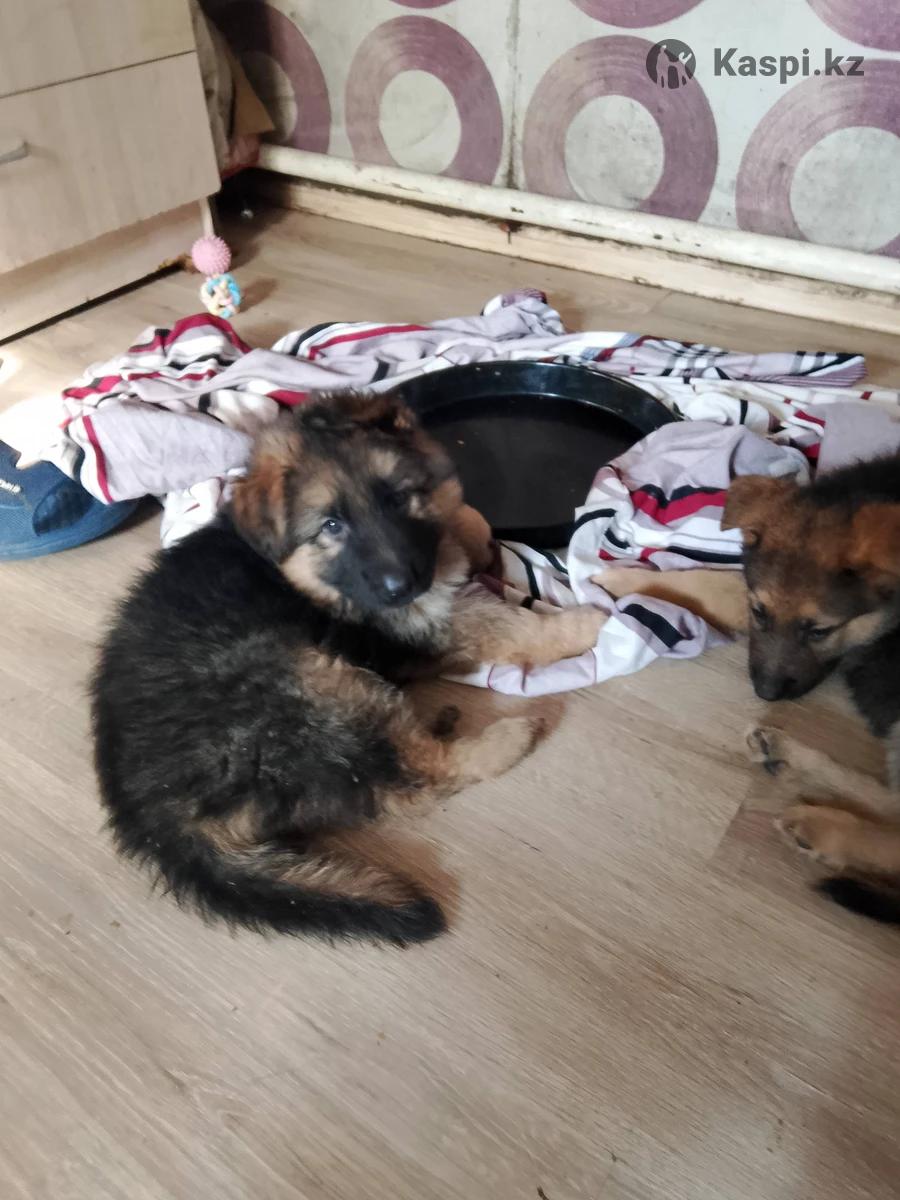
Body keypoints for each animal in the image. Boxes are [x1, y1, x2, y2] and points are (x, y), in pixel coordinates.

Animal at [92, 389, 606, 944]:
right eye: (332, 526)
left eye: (398, 499)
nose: (402, 585)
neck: (290, 570)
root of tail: (155, 817)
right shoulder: (430, 617)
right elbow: (508, 624)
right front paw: (585, 625)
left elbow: (463, 522)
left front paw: (474, 534)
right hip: (314, 681)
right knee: (417, 777)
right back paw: (507, 738)